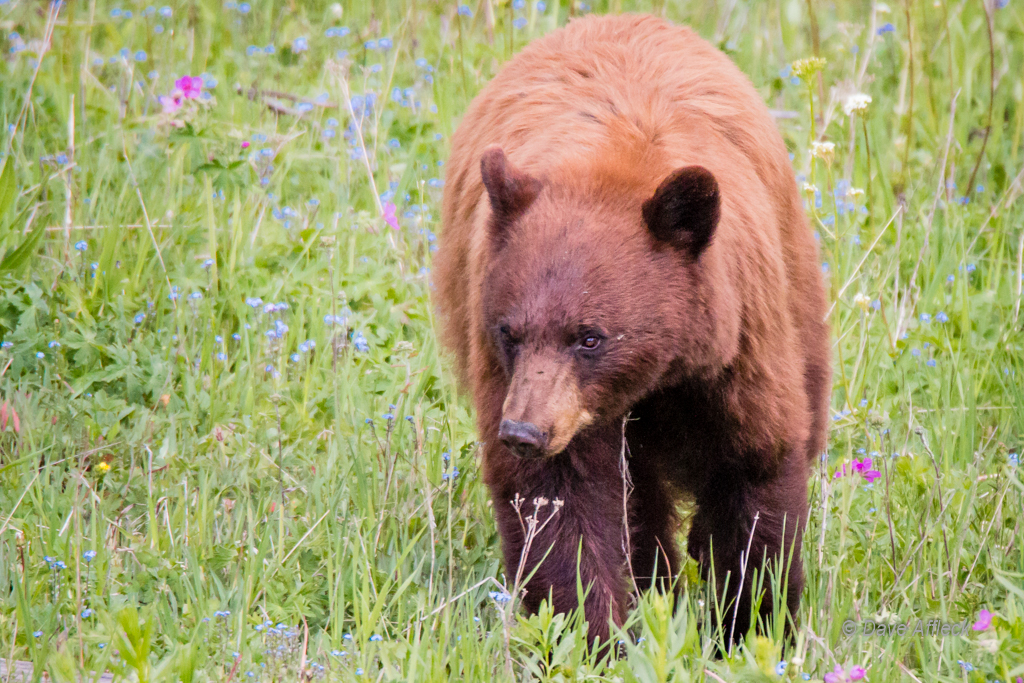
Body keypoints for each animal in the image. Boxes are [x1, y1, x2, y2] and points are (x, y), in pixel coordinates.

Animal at [432, 13, 831, 651]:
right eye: (510, 332)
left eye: (590, 336)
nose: (522, 431)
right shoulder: (518, 374)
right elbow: (558, 503)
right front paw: (594, 636)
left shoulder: (740, 342)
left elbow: (755, 465)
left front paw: (751, 625)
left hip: (797, 290)